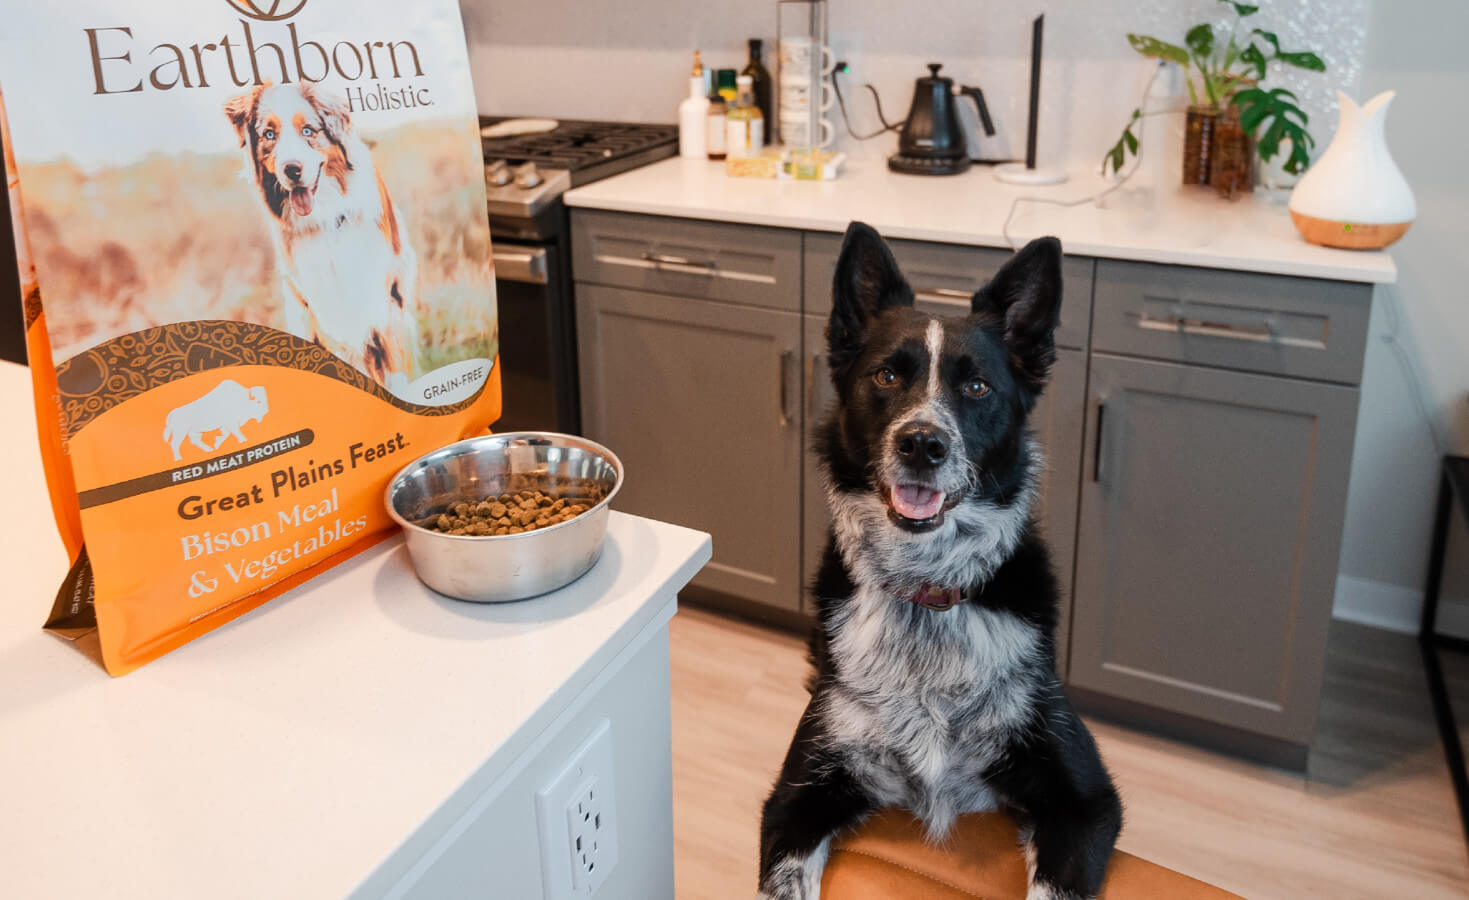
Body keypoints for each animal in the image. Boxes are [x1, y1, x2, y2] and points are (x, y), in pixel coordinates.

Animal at [223, 81, 420, 393]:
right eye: (269, 134)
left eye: (308, 131)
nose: (292, 169)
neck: (326, 219)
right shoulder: (324, 310)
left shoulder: (385, 299)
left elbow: (396, 372)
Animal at [758, 223, 1122, 898]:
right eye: (885, 377)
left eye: (977, 387)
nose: (923, 444)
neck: (926, 591)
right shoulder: (796, 798)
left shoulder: (1084, 800)